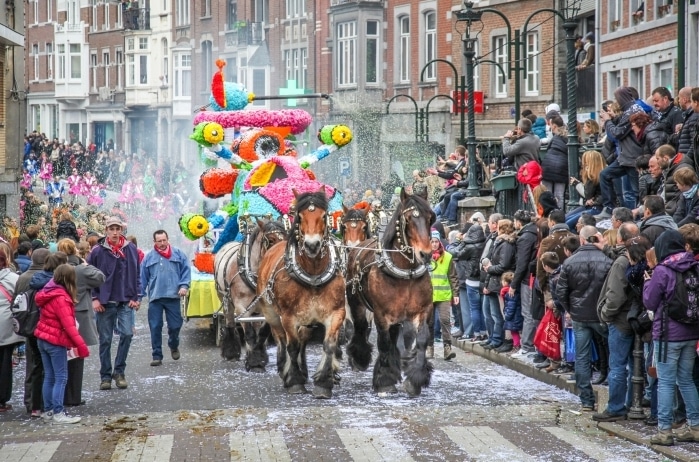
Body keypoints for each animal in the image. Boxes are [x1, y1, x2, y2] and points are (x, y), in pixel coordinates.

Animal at [216, 217, 288, 372]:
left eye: (287, 238)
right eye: (271, 240)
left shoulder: (268, 307)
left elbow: (262, 333)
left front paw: (259, 358)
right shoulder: (241, 307)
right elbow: (249, 334)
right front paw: (254, 362)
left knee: (255, 325)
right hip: (225, 300)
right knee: (230, 322)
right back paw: (231, 352)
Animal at [256, 187, 346, 398]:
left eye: (324, 216)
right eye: (300, 216)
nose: (312, 245)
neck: (313, 276)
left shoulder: (336, 313)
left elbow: (329, 345)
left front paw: (323, 381)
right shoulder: (288, 317)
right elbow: (292, 346)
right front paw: (295, 380)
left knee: (303, 338)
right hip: (271, 313)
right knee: (281, 340)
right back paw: (284, 369)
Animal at [346, 189, 438, 398]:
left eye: (431, 218)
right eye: (409, 219)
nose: (426, 254)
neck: (406, 273)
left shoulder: (423, 310)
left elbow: (421, 339)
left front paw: (416, 378)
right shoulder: (381, 314)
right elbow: (384, 342)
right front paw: (384, 381)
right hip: (356, 302)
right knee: (361, 327)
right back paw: (360, 357)